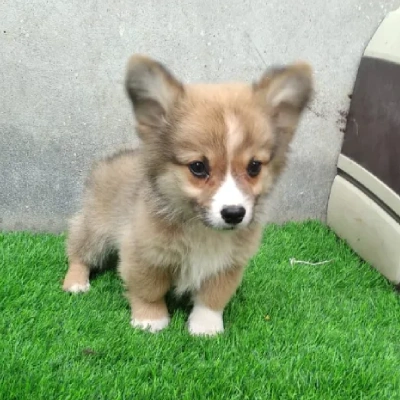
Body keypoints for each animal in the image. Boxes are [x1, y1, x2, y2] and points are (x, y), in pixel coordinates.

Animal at [62, 54, 312, 336]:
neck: (201, 228)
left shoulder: (227, 265)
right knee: (78, 251)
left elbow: (212, 298)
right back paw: (76, 283)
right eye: (198, 167)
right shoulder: (143, 253)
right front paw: (150, 320)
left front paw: (206, 327)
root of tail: (109, 159)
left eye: (254, 167)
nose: (234, 214)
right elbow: (149, 290)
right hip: (95, 229)